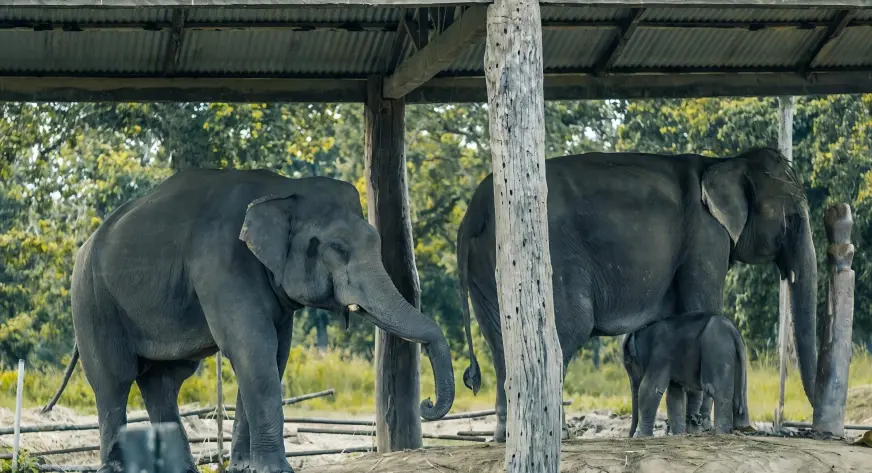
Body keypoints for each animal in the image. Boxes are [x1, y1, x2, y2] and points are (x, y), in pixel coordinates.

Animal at [41, 168, 455, 473]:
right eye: (338, 248)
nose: (427, 404)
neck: (283, 190)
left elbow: (274, 353)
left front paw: (244, 467)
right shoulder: (221, 262)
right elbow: (253, 348)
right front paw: (275, 470)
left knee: (163, 381)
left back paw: (182, 469)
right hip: (92, 300)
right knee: (114, 379)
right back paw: (114, 466)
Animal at [621, 311, 751, 437]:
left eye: (630, 363)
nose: (630, 435)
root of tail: (733, 331)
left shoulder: (660, 354)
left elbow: (650, 388)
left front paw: (641, 436)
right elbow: (675, 395)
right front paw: (679, 434)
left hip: (717, 347)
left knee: (716, 390)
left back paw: (721, 432)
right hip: (736, 355)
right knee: (740, 393)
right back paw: (743, 428)